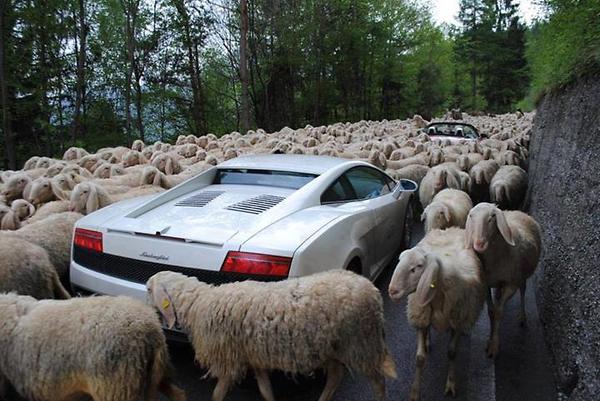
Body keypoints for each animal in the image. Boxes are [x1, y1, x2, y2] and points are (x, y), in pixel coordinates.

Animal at [147, 268, 396, 400]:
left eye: (149, 289)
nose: (147, 310)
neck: (198, 304)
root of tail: (372, 289)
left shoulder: (229, 359)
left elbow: (217, 394)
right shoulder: (253, 356)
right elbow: (265, 389)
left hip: (361, 342)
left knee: (377, 381)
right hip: (331, 346)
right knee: (336, 376)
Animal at [464, 203, 544, 356]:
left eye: (492, 216)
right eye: (471, 216)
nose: (479, 244)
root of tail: (518, 212)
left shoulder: (511, 284)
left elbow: (498, 312)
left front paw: (494, 345)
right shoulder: (486, 284)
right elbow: (491, 312)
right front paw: (490, 340)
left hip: (521, 276)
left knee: (523, 290)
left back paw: (522, 317)